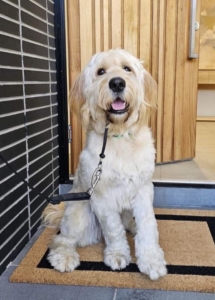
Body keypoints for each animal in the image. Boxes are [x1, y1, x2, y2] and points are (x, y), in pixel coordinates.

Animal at [42, 49, 167, 282]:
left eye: (127, 68)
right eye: (101, 72)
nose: (117, 83)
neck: (119, 136)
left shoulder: (143, 190)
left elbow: (148, 226)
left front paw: (151, 260)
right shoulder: (102, 197)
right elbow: (113, 229)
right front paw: (118, 254)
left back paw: (132, 226)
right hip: (79, 215)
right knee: (62, 239)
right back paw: (64, 256)